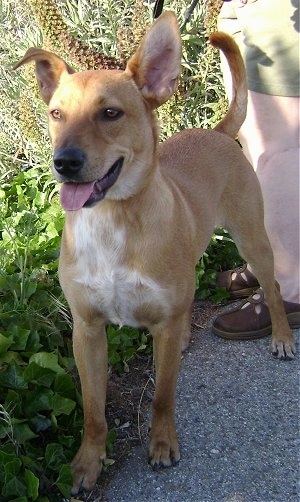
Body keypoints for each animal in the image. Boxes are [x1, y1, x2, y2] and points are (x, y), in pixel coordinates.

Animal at [14, 10, 296, 494]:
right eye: (56, 114)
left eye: (110, 113)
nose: (64, 162)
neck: (113, 222)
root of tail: (217, 132)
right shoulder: (87, 331)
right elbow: (93, 411)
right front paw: (87, 463)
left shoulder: (155, 329)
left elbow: (163, 396)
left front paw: (162, 443)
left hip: (251, 237)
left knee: (273, 285)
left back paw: (280, 335)